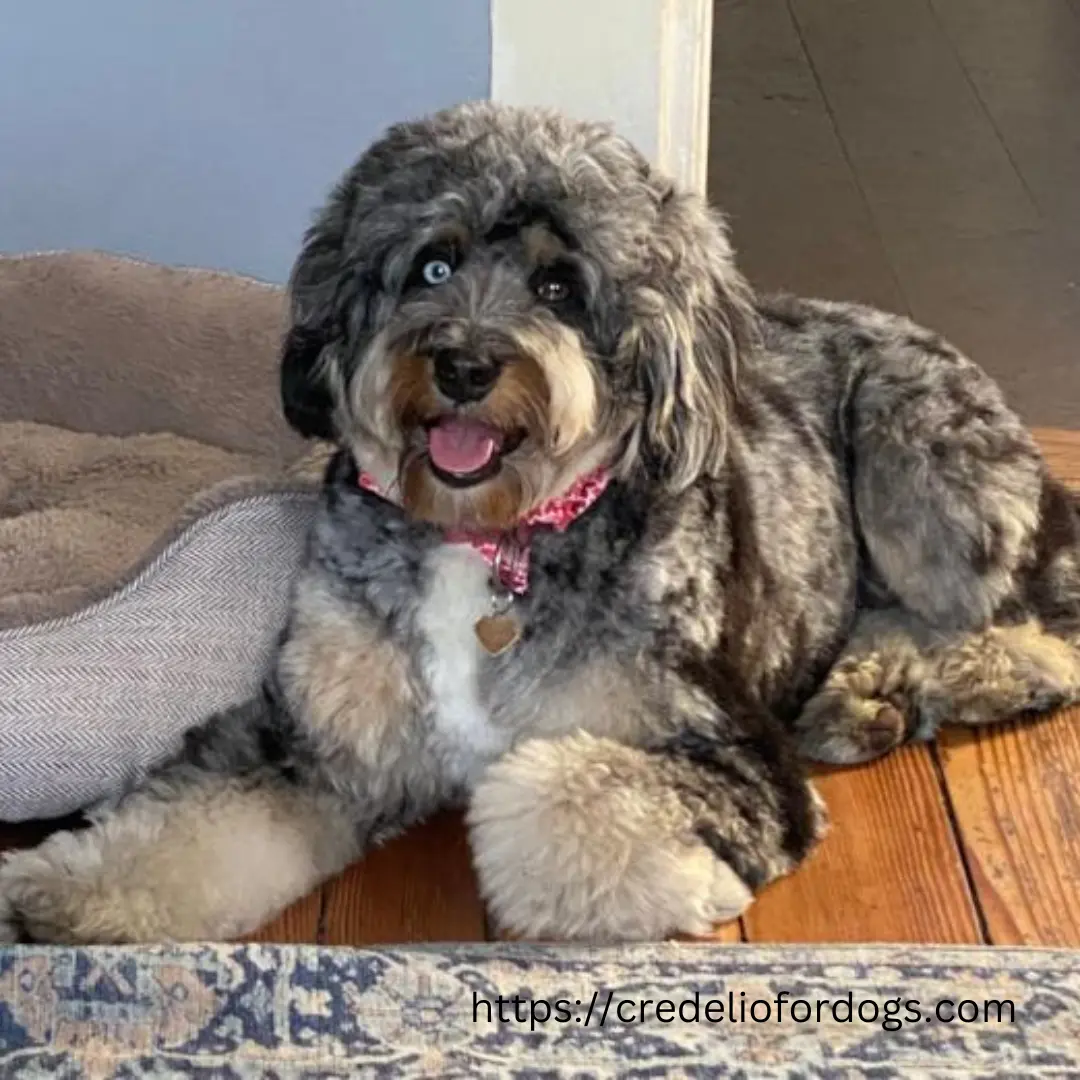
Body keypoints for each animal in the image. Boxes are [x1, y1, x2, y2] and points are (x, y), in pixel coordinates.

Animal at [2, 103, 1080, 946]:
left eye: (562, 287)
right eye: (432, 265)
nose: (464, 363)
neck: (487, 536)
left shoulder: (732, 756)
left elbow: (538, 796)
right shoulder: (312, 739)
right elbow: (183, 817)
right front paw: (57, 896)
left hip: (921, 467)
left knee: (1036, 616)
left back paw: (940, 677)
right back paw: (866, 686)